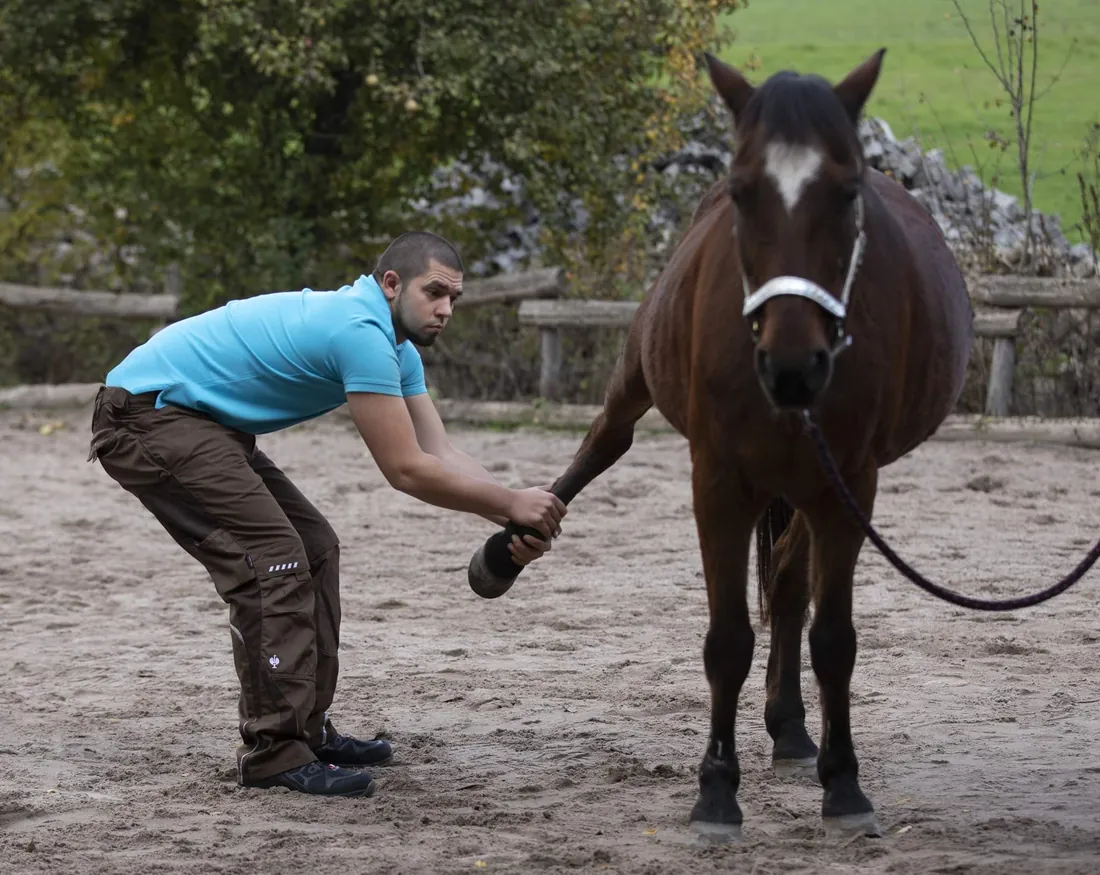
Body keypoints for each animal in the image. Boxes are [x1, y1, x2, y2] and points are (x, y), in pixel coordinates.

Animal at [468, 49, 974, 840]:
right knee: (602, 446)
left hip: (809, 486)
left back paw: (791, 728)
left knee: (790, 584)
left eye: (847, 191)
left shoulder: (847, 486)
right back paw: (508, 549)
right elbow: (727, 637)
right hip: (638, 374)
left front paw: (844, 786)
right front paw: (714, 792)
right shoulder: (718, 481)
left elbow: (833, 637)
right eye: (742, 192)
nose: (794, 365)